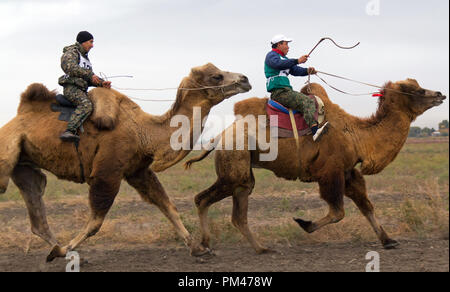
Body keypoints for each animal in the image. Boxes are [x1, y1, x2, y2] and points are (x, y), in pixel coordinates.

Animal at [0, 62, 251, 262]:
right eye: (217, 76)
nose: (245, 79)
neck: (144, 133)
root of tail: (12, 122)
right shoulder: (107, 172)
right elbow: (96, 221)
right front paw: (63, 250)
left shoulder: (137, 171)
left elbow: (167, 206)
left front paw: (198, 248)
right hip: (7, 154)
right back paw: (63, 251)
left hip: (24, 166)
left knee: (37, 208)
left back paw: (62, 251)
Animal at [184, 78, 446, 254]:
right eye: (419, 90)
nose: (440, 93)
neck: (357, 136)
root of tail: (218, 137)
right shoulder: (331, 172)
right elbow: (338, 211)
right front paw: (304, 224)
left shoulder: (348, 172)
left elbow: (366, 206)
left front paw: (389, 240)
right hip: (234, 166)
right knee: (202, 199)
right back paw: (204, 247)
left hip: (242, 174)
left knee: (237, 213)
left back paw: (260, 248)